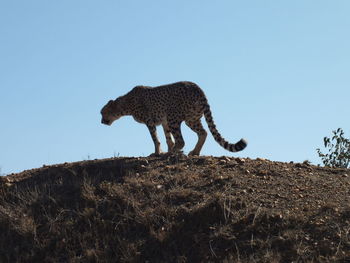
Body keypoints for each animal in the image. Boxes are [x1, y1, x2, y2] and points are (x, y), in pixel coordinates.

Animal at [101, 81, 247, 156]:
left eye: (102, 112)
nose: (101, 121)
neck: (125, 103)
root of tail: (197, 87)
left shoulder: (150, 121)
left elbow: (155, 139)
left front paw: (158, 153)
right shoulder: (164, 121)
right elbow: (168, 139)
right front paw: (168, 149)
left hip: (174, 116)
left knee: (182, 140)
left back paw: (177, 152)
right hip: (191, 119)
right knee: (203, 132)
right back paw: (194, 152)